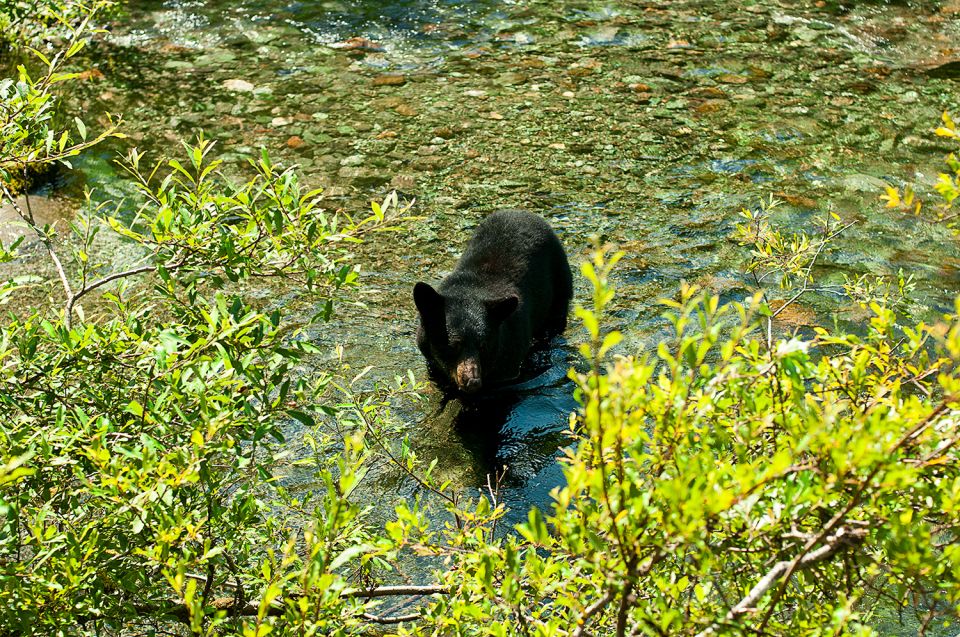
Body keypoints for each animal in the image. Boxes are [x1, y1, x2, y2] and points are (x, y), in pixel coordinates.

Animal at [412, 210, 568, 392]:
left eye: (483, 346)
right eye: (453, 345)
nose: (472, 381)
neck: (471, 289)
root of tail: (523, 212)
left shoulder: (510, 351)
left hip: (560, 283)